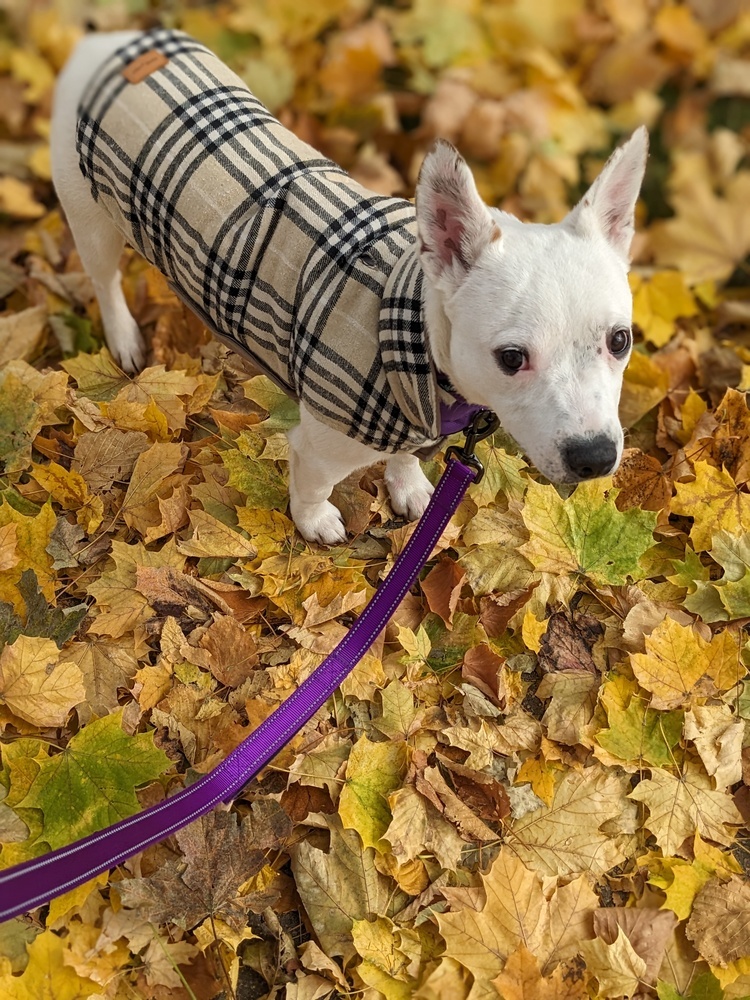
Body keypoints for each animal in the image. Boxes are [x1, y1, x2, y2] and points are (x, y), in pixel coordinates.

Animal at [50, 31, 648, 544]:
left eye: (621, 341)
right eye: (511, 358)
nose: (595, 457)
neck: (415, 341)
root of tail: (111, 43)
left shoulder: (418, 425)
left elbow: (407, 456)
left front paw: (408, 485)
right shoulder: (320, 448)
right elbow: (313, 484)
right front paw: (314, 522)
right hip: (92, 219)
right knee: (105, 280)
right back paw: (124, 338)